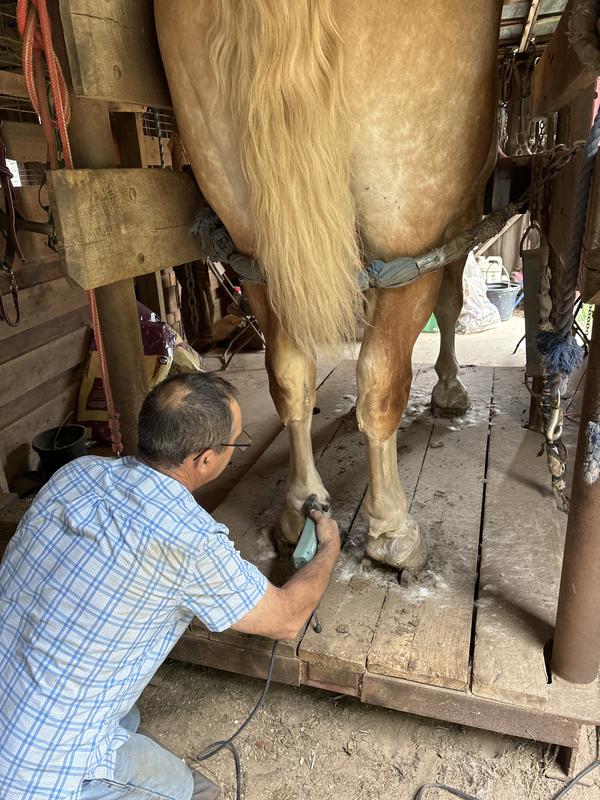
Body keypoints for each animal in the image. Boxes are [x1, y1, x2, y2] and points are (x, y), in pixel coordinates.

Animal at [154, 0, 502, 570]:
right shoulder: (457, 222)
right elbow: (451, 305)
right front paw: (450, 391)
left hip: (255, 249)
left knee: (290, 377)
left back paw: (301, 508)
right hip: (406, 223)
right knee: (380, 384)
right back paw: (393, 531)